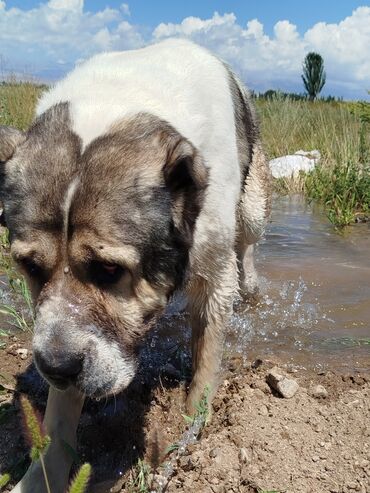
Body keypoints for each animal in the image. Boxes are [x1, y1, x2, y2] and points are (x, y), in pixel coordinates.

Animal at [0, 39, 272, 492]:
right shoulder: (69, 330)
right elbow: (58, 420)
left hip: (251, 205)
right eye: (30, 267)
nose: (55, 368)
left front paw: (192, 430)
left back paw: (250, 283)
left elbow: (206, 353)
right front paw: (41, 476)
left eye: (109, 270)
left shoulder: (214, 274)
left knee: (247, 243)